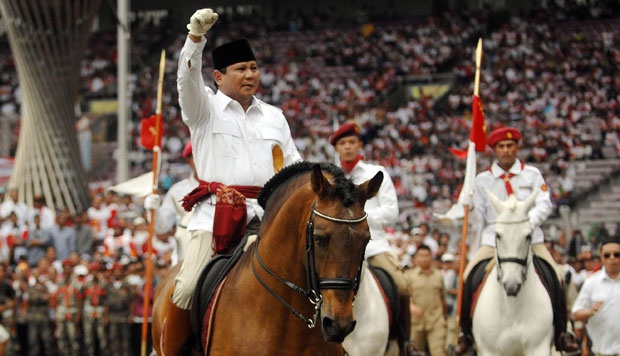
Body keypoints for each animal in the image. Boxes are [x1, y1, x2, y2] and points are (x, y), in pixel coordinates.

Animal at [472, 192, 556, 356]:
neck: (512, 307)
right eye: (498, 235)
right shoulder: (490, 350)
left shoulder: (538, 347)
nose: (511, 285)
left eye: (528, 236)